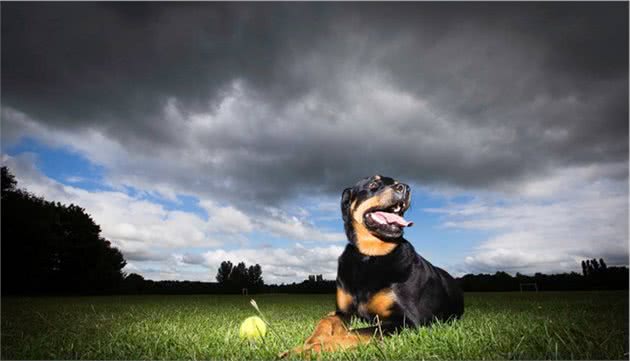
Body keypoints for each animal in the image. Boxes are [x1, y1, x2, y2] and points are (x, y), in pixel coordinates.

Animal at [282, 175, 464, 358]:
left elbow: (354, 333)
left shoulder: (407, 321)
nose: (405, 187)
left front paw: (308, 350)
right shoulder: (344, 312)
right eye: (373, 184)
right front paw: (312, 340)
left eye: (396, 182)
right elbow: (326, 319)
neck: (370, 256)